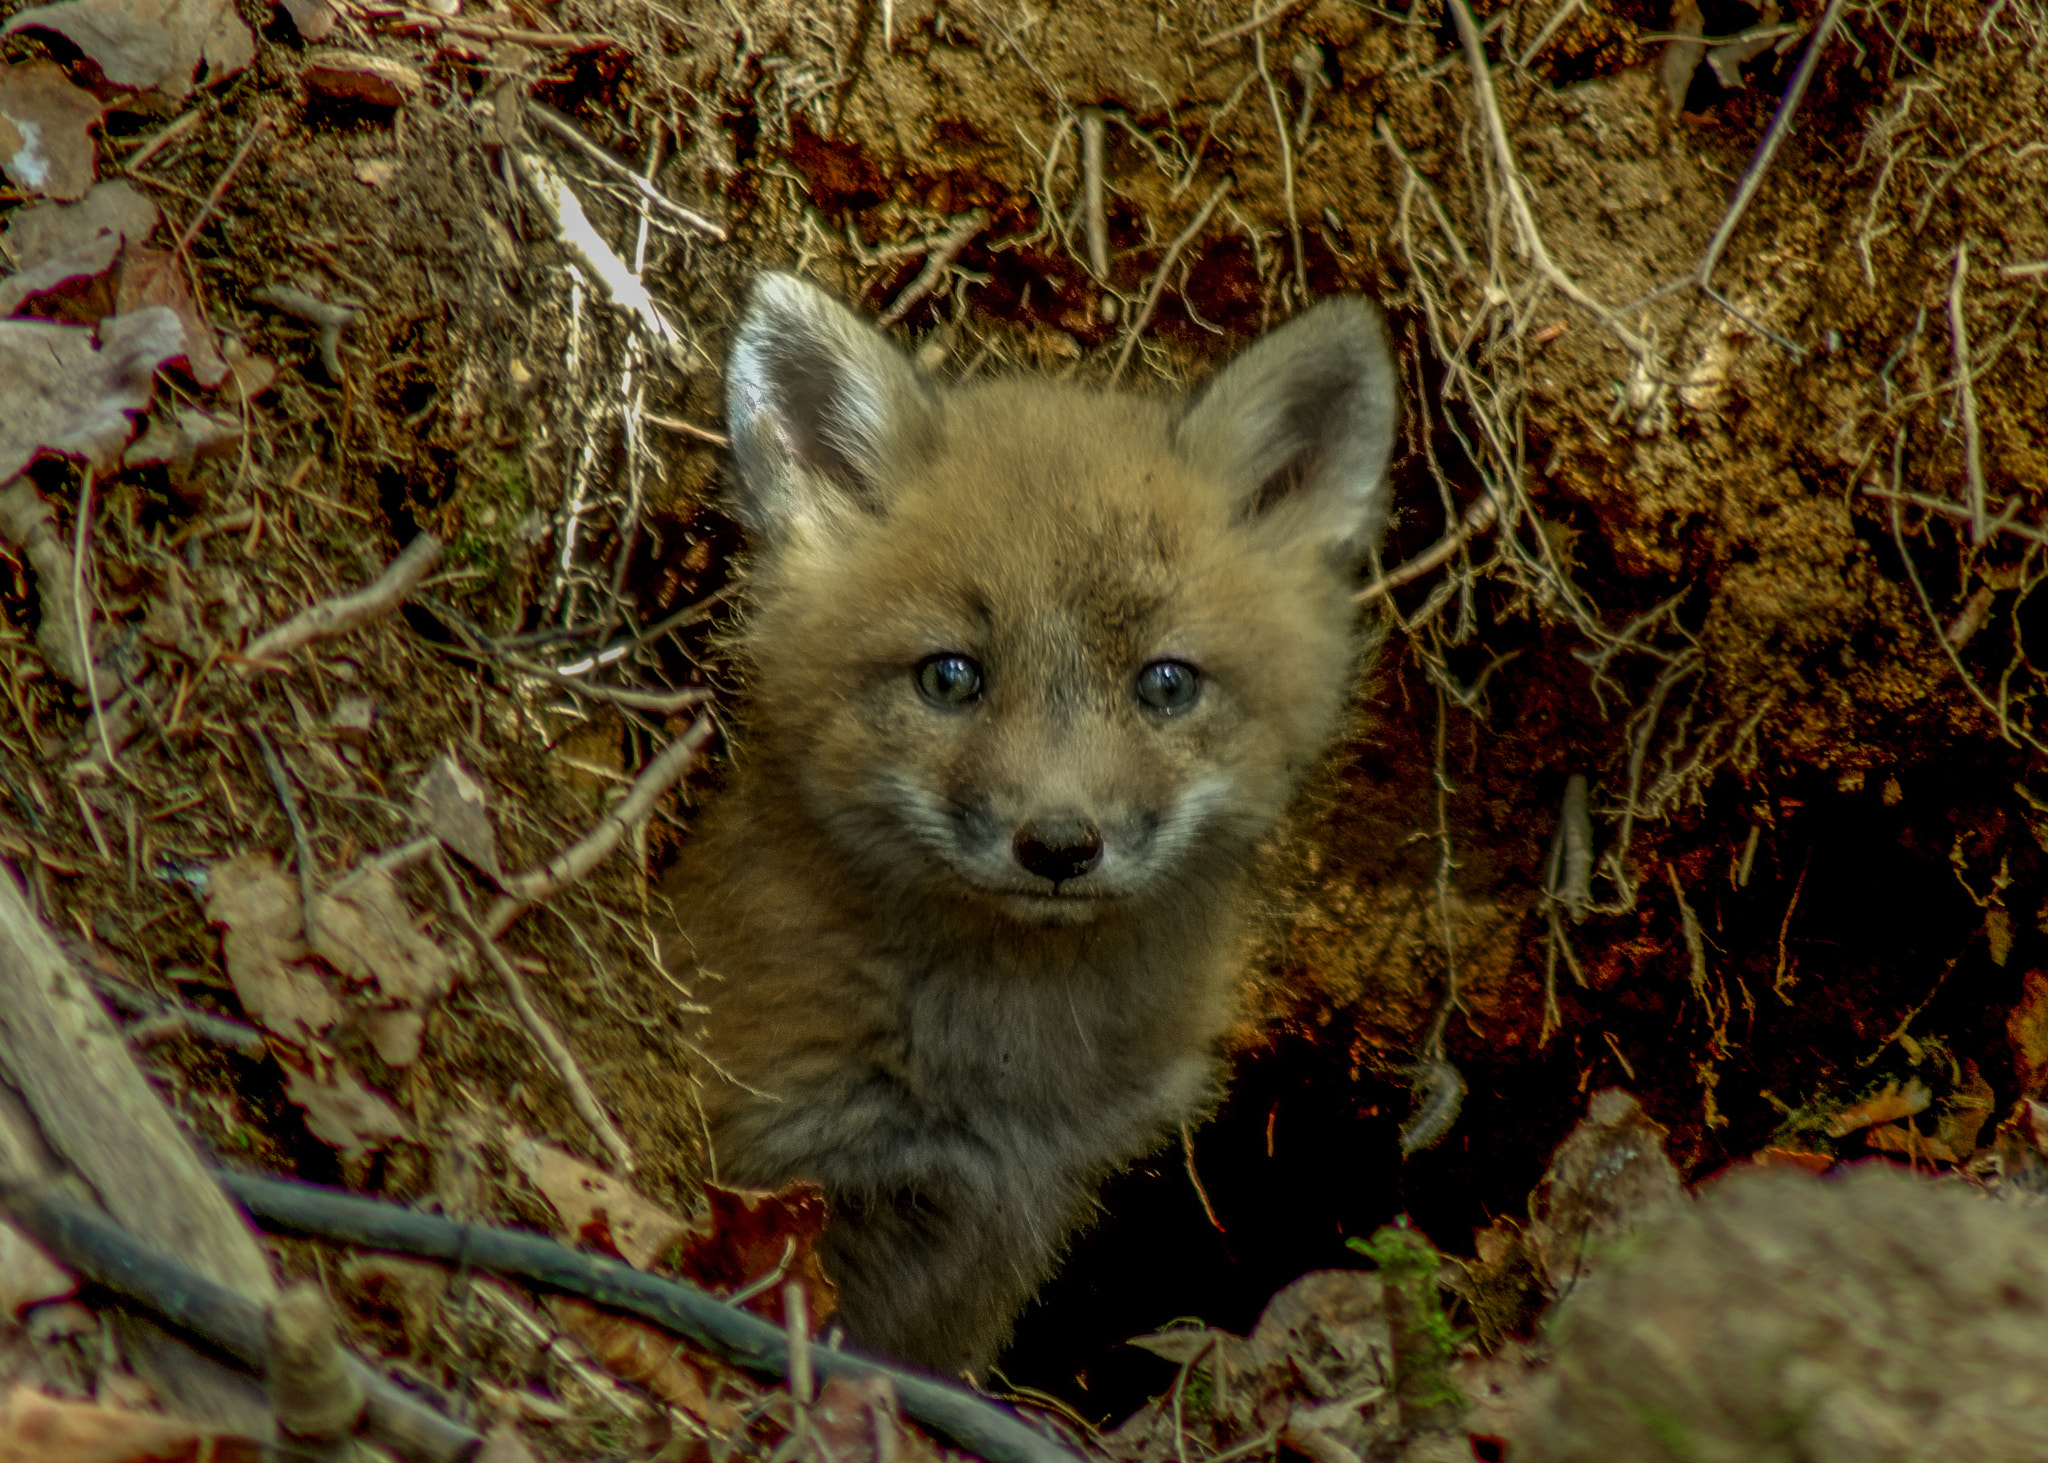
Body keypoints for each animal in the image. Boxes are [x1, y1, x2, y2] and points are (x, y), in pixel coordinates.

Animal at [668, 271, 1399, 1376]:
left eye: (1165, 683)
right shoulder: (786, 1166)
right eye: (949, 676)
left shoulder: (1010, 1219)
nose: (1058, 845)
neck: (1008, 1079)